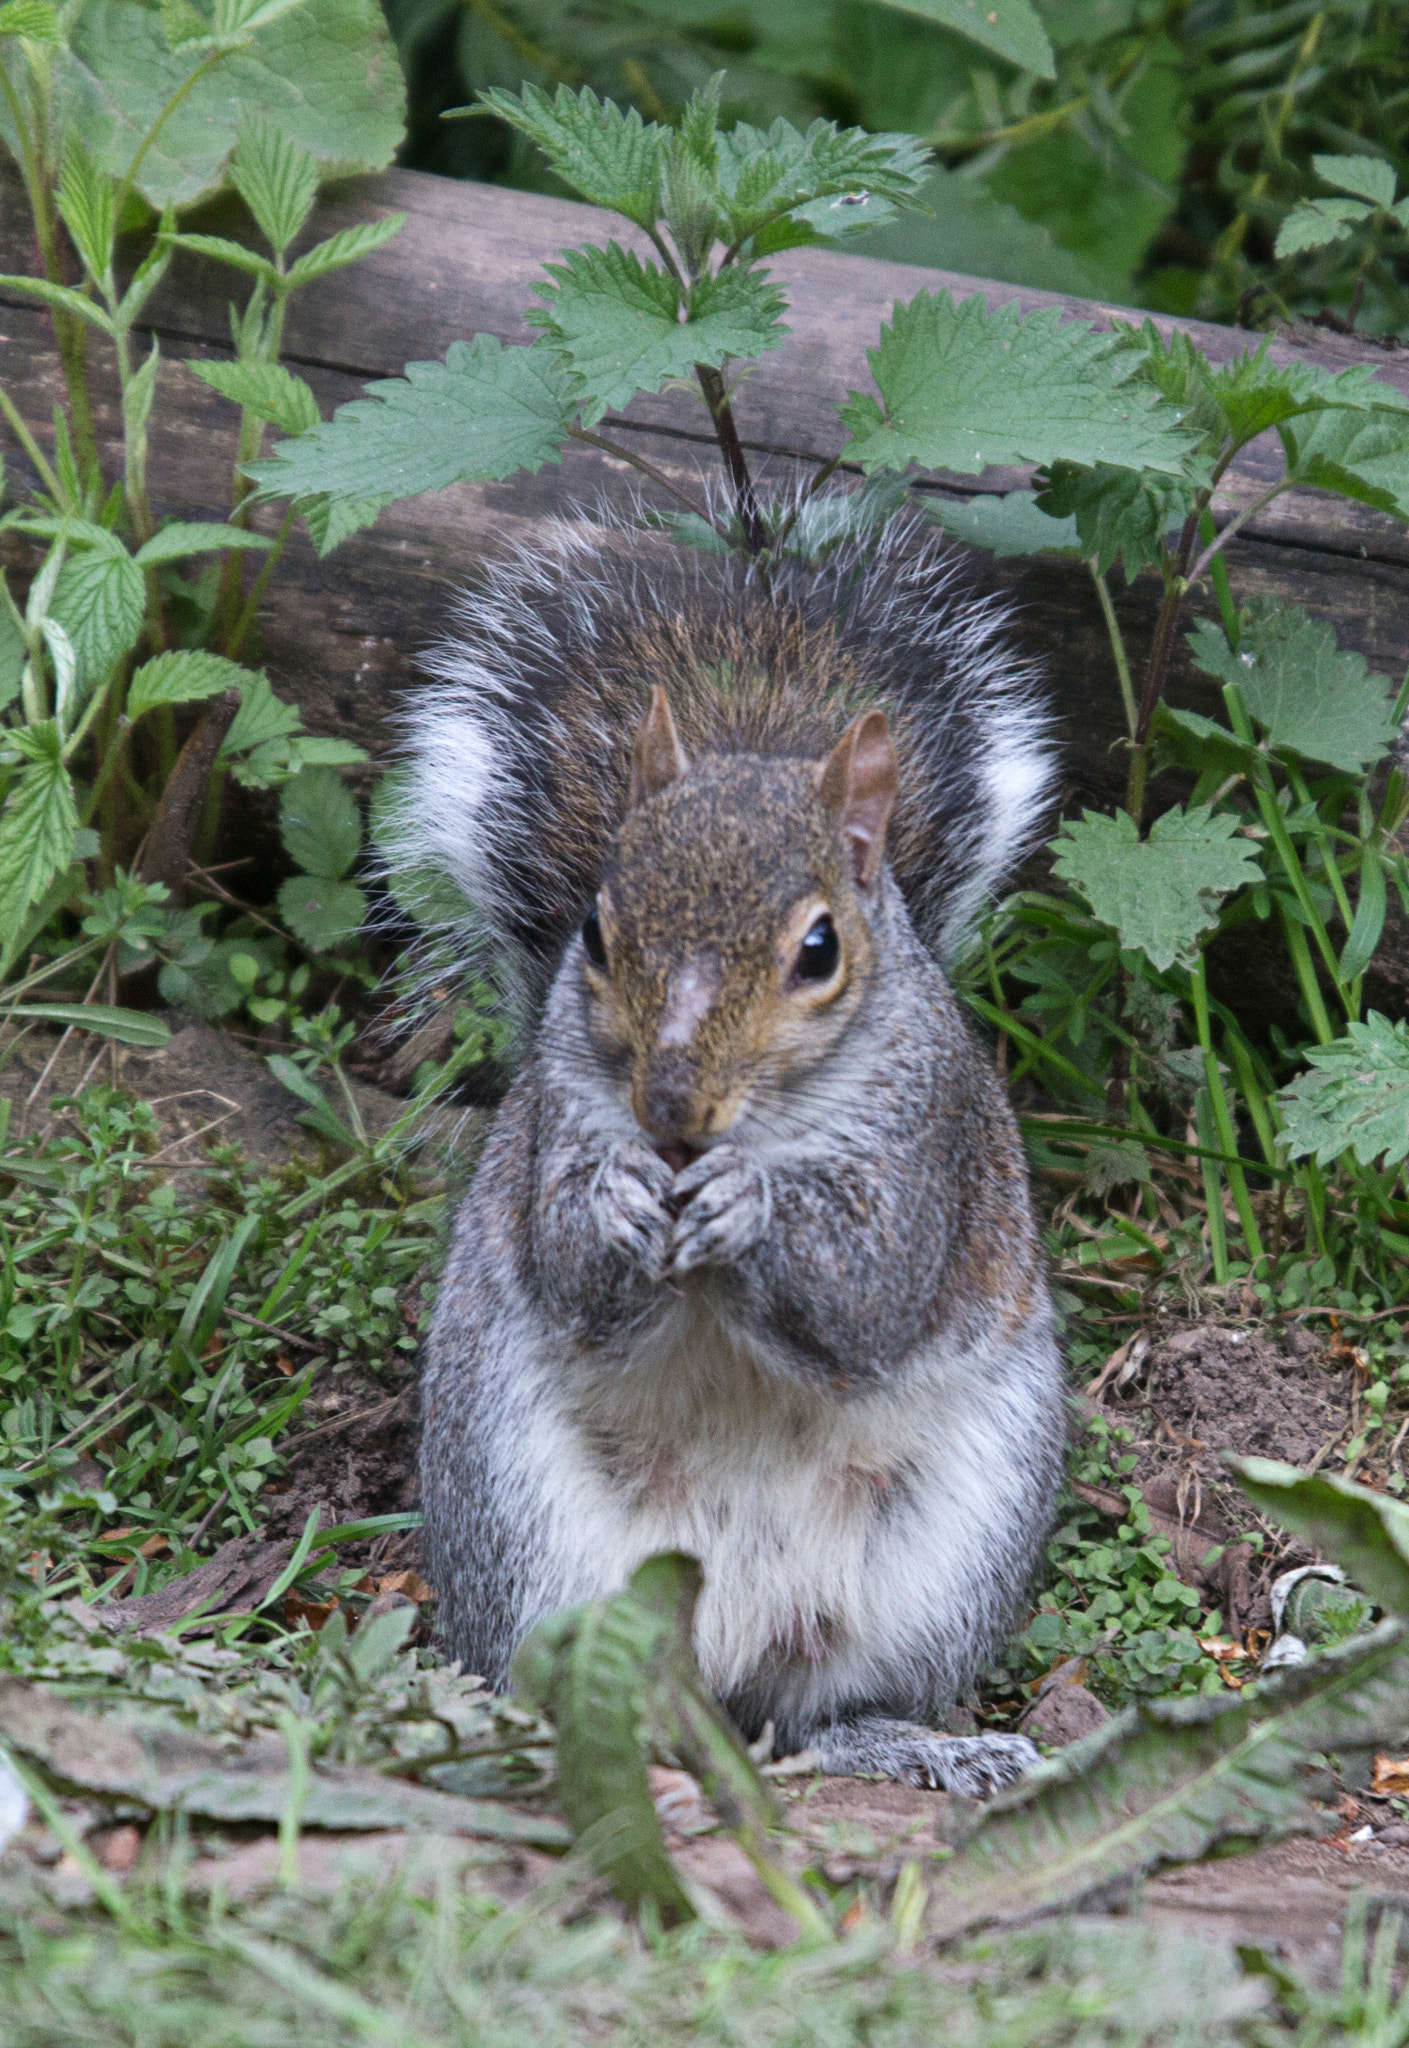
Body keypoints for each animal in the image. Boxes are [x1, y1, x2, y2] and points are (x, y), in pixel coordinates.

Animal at [398, 511, 1067, 1795]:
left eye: (818, 948)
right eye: (596, 930)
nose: (668, 1107)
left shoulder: (932, 1145)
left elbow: (868, 1297)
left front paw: (751, 1204)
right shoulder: (556, 1121)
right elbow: (569, 1277)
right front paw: (614, 1198)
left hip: (948, 1548)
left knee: (819, 1710)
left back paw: (922, 1744)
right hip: (522, 1527)